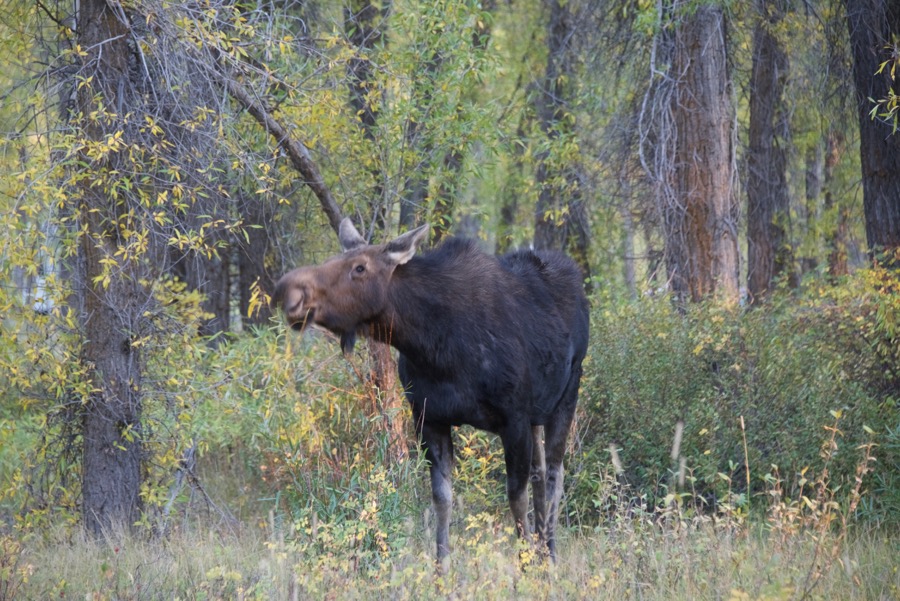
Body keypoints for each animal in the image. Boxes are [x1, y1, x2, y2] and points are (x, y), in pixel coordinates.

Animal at [272, 219, 590, 565]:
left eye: (360, 267)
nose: (289, 291)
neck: (432, 344)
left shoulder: (513, 418)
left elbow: (515, 499)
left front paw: (527, 565)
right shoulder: (429, 418)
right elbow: (442, 499)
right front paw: (442, 569)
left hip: (567, 393)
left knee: (554, 474)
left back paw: (550, 553)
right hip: (537, 413)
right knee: (540, 472)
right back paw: (544, 549)